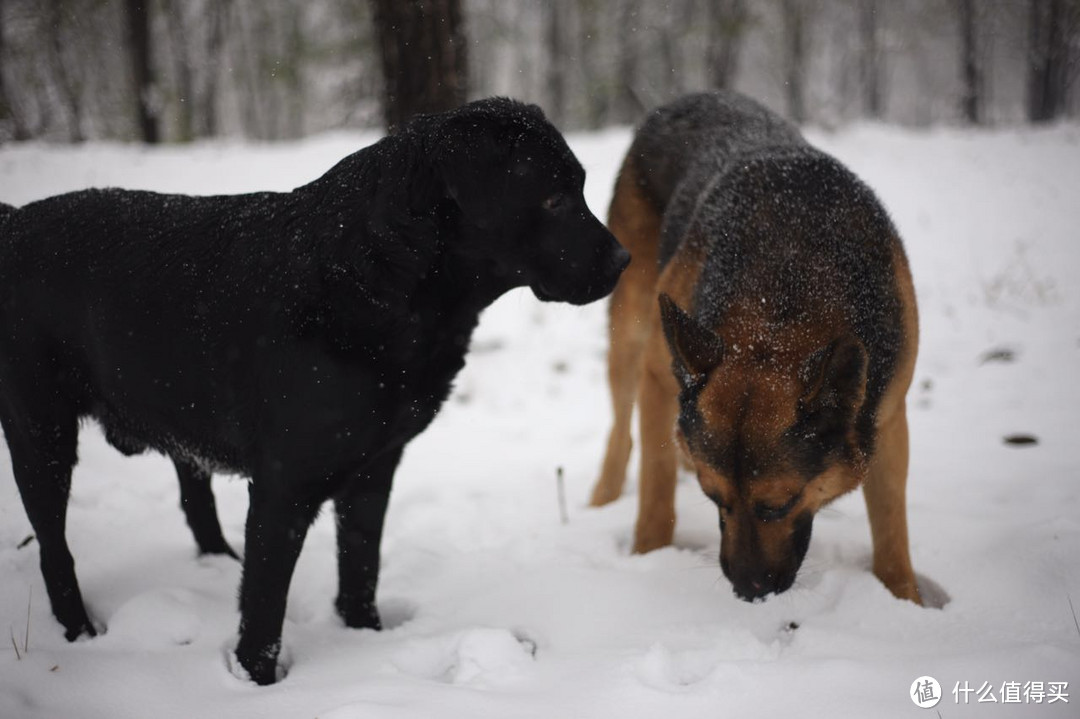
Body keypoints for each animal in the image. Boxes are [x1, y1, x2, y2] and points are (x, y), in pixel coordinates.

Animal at [0, 96, 630, 682]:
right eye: (555, 199)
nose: (625, 260)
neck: (371, 285)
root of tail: (12, 222)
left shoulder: (376, 468)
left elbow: (360, 568)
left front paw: (364, 639)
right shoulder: (284, 487)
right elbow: (264, 609)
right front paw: (255, 683)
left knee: (195, 502)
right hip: (40, 435)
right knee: (55, 551)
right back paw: (80, 632)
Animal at [591, 92, 920, 600]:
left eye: (778, 505)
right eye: (713, 497)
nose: (749, 591)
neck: (781, 303)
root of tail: (685, 98)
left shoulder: (885, 416)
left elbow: (891, 537)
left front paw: (906, 602)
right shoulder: (659, 378)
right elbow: (655, 493)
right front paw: (648, 560)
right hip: (632, 330)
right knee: (623, 431)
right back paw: (603, 495)